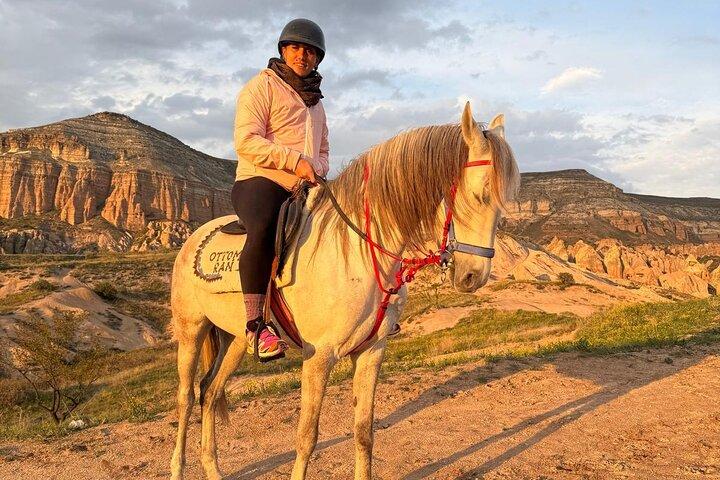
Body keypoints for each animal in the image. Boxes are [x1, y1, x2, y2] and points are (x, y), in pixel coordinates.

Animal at [169, 103, 520, 480]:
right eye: (480, 195)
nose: (474, 276)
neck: (358, 251)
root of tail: (193, 238)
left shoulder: (371, 351)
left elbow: (364, 432)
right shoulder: (318, 356)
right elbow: (307, 437)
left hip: (235, 337)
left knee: (210, 391)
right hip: (191, 331)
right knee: (186, 398)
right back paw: (177, 467)